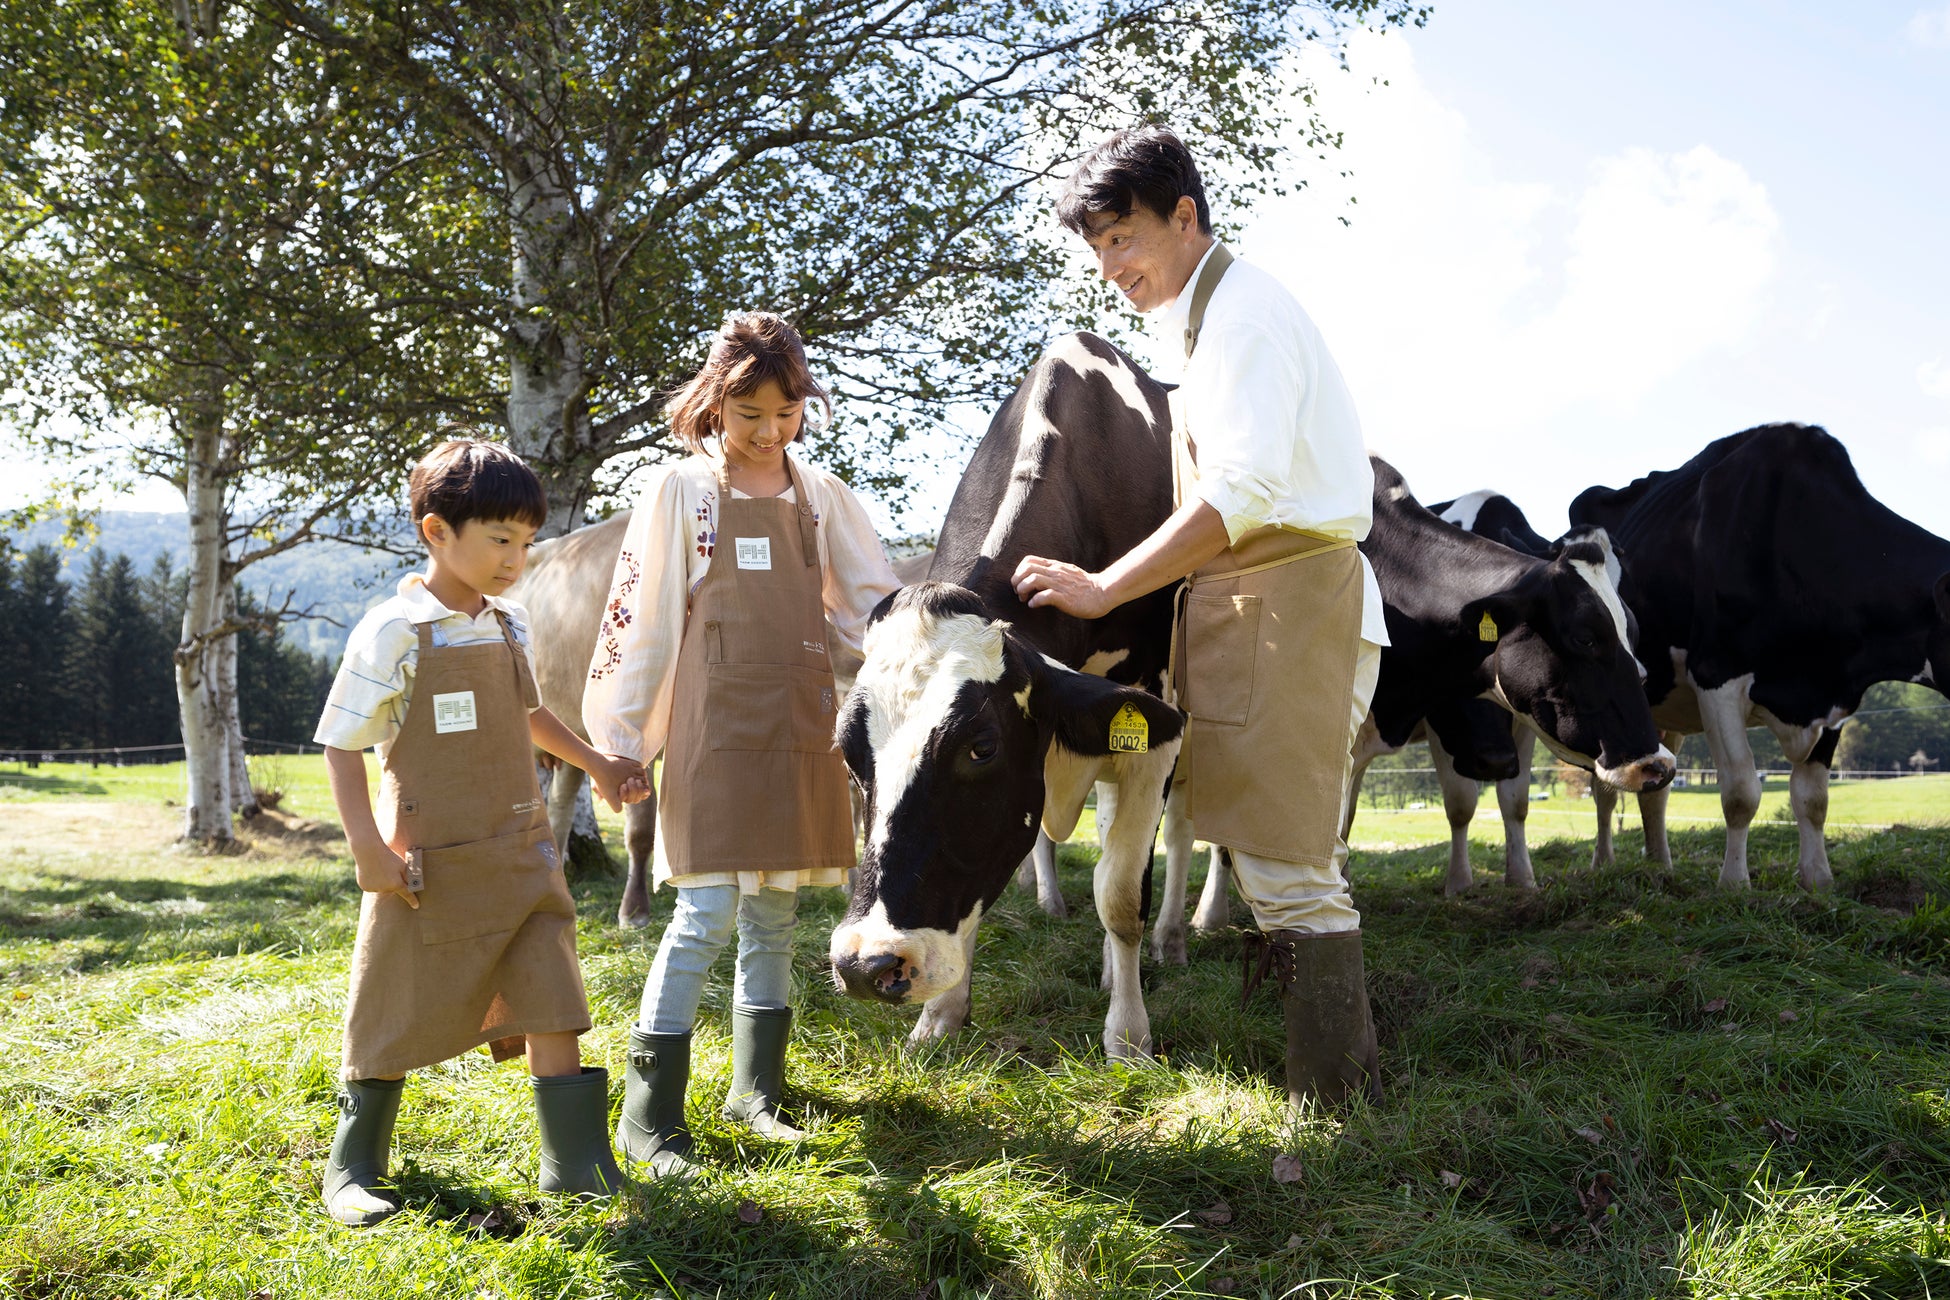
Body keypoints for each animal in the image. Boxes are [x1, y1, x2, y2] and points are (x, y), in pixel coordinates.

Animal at [826, 335, 1185, 1060]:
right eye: (850, 755)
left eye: (981, 747)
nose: (866, 965)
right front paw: (940, 1017)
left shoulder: (1154, 726)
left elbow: (1120, 896)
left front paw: (1129, 1036)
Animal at [1567, 422, 1950, 888]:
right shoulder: (1716, 675)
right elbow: (1740, 794)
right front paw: (1733, 884)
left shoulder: (1836, 696)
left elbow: (1813, 799)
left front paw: (1818, 880)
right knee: (1604, 790)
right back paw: (1603, 862)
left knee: (1654, 790)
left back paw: (1661, 866)